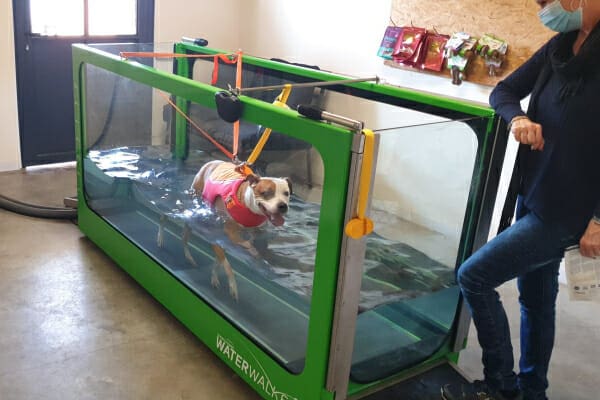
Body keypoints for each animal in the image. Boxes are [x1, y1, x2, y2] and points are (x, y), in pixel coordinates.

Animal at [158, 159, 292, 300]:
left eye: (286, 193)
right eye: (266, 193)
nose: (283, 205)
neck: (248, 204)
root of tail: (213, 161)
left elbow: (219, 261)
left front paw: (214, 277)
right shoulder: (226, 235)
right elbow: (229, 264)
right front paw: (233, 285)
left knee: (184, 236)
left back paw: (189, 256)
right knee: (165, 218)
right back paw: (160, 237)